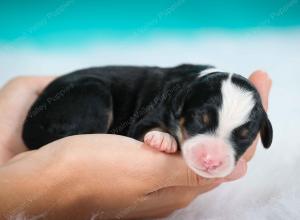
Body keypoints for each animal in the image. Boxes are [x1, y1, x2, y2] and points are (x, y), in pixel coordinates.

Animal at [22, 63, 272, 179]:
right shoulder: (146, 118)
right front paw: (163, 139)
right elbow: (146, 129)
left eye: (244, 137)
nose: (211, 161)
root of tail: (30, 118)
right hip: (94, 92)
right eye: (199, 120)